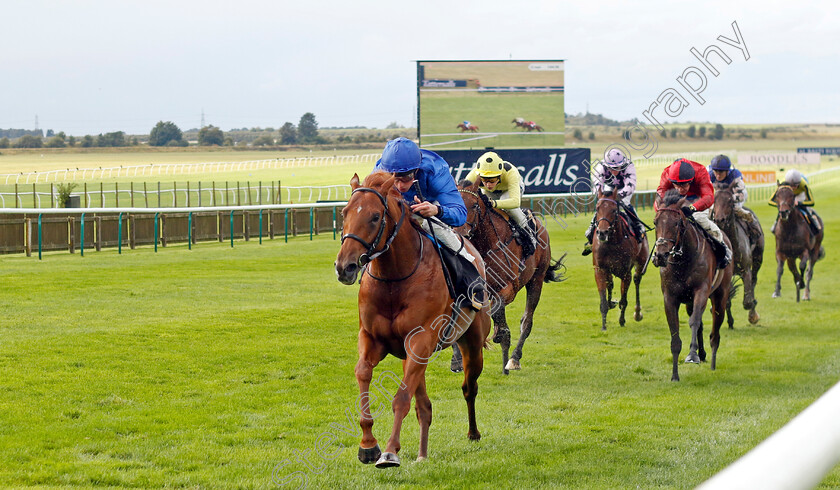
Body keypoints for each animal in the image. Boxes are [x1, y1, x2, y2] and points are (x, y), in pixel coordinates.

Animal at [334, 171, 492, 468]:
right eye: (344, 212)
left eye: (375, 216)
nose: (344, 267)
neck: (395, 279)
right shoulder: (372, 338)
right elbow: (363, 372)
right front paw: (368, 445)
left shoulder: (420, 340)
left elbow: (401, 398)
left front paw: (389, 451)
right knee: (424, 407)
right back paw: (422, 454)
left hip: (472, 343)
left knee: (469, 387)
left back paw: (473, 433)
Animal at [452, 180, 564, 376]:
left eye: (474, 205)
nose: (462, 236)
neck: (485, 246)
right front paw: (457, 361)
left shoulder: (509, 289)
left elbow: (498, 311)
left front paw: (500, 335)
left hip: (536, 280)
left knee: (526, 321)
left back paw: (513, 359)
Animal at [592, 189, 648, 332]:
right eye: (597, 208)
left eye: (613, 210)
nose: (602, 233)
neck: (613, 242)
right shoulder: (600, 269)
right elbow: (603, 300)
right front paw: (604, 326)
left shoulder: (626, 273)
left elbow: (623, 301)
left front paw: (622, 321)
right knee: (610, 284)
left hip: (641, 262)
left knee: (637, 280)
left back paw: (637, 313)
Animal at [652, 191, 732, 382]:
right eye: (655, 222)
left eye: (676, 223)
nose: (660, 255)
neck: (682, 260)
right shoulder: (670, 298)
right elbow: (675, 336)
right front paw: (675, 375)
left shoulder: (701, 291)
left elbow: (694, 321)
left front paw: (692, 355)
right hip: (689, 301)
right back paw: (703, 355)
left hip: (720, 296)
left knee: (715, 332)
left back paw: (712, 363)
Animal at [712, 182, 764, 324]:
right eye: (714, 200)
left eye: (730, 200)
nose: (719, 219)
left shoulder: (745, 269)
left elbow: (747, 301)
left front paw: (753, 314)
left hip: (758, 259)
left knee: (754, 281)